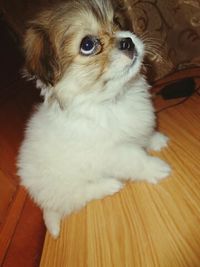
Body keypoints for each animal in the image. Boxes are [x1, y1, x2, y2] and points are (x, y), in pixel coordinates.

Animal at [17, 0, 171, 239]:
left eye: (117, 23)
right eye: (88, 45)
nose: (127, 41)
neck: (110, 101)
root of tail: (43, 202)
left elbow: (144, 135)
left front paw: (156, 140)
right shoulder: (112, 153)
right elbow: (136, 159)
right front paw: (156, 168)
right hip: (68, 185)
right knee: (82, 195)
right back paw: (110, 185)